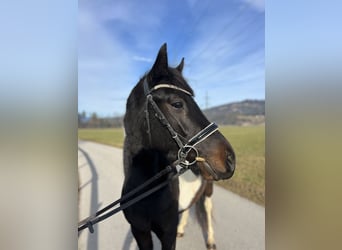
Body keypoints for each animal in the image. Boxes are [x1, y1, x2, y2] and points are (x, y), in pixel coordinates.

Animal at [121, 43, 235, 250]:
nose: (230, 158)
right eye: (177, 103)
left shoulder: (167, 235)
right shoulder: (140, 232)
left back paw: (211, 241)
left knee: (206, 211)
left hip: (208, 191)